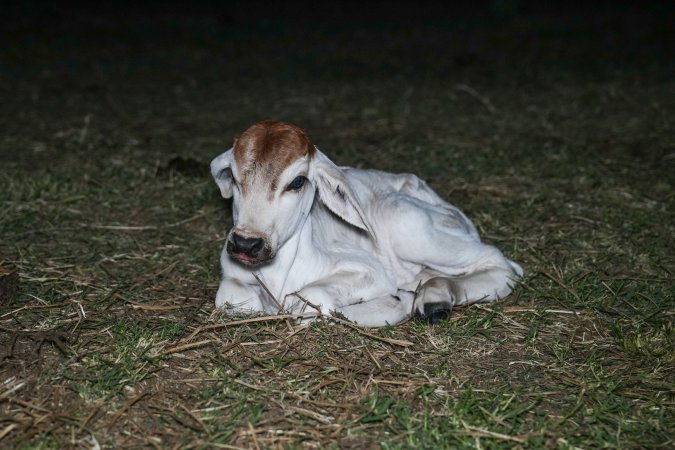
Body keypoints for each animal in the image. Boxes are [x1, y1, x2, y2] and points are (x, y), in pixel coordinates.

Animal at [211, 122, 524, 326]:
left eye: (297, 182)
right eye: (235, 178)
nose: (246, 243)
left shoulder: (370, 271)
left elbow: (309, 303)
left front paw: (393, 304)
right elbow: (233, 299)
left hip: (407, 224)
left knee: (501, 264)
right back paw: (433, 298)